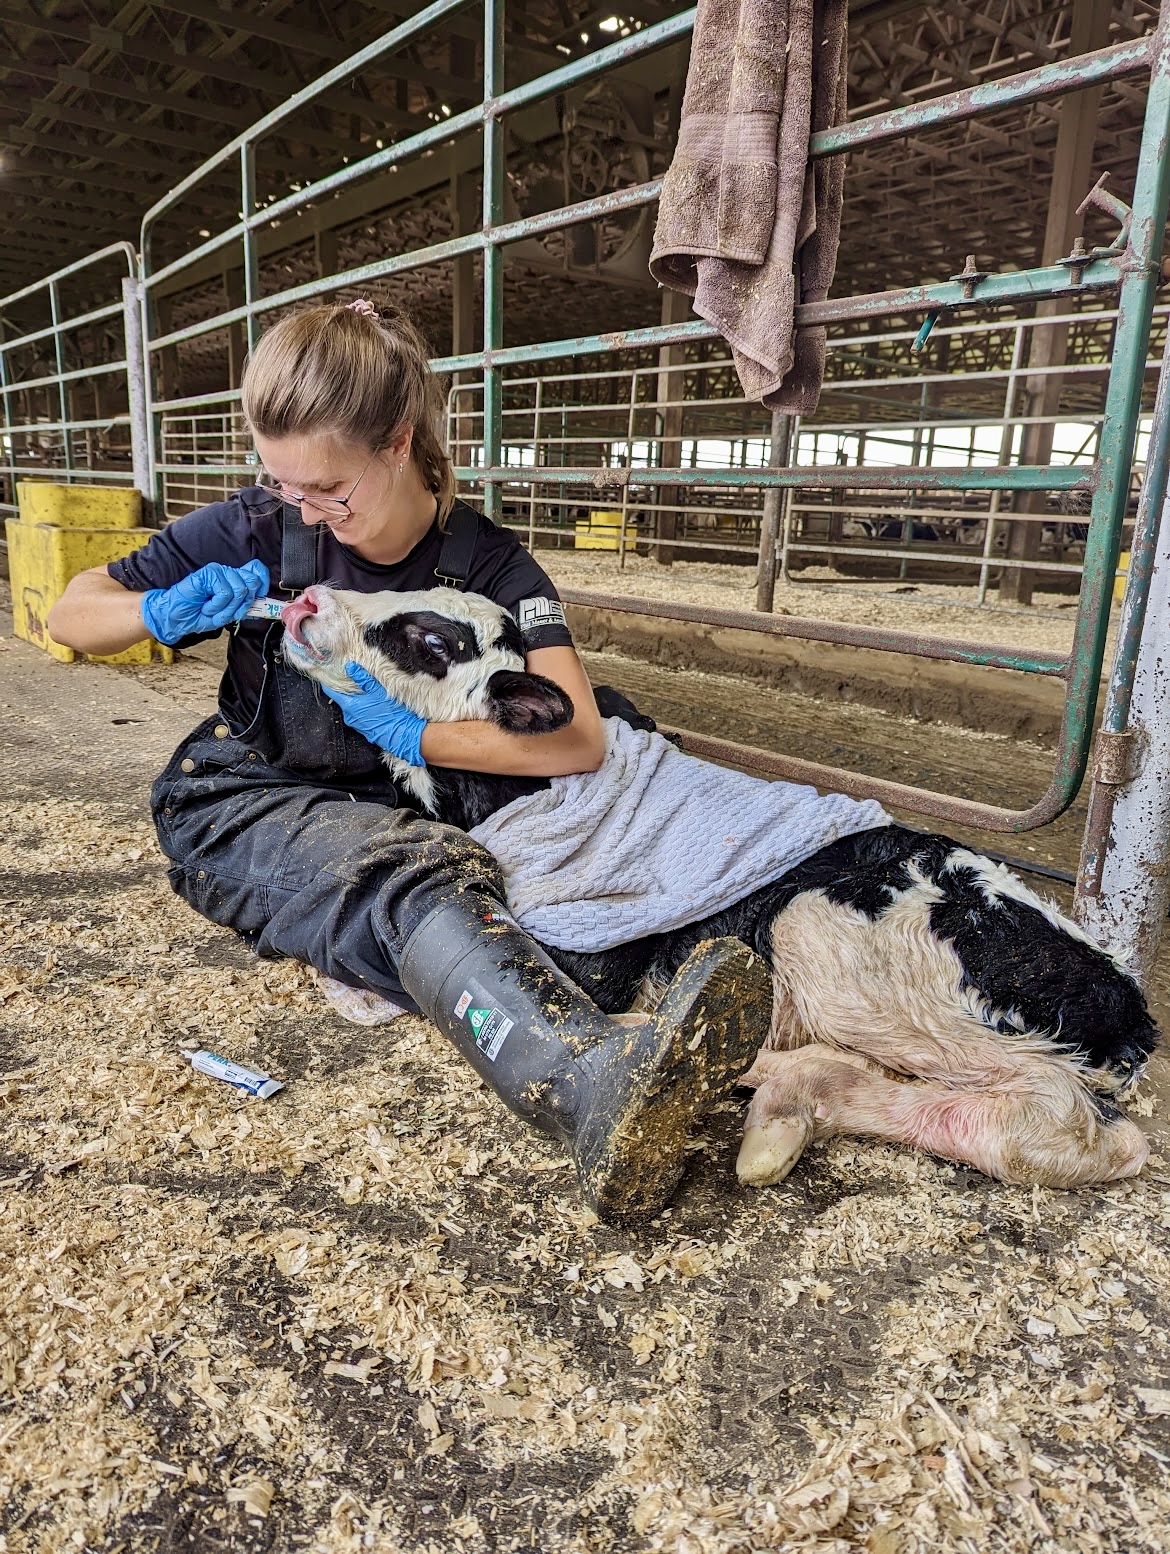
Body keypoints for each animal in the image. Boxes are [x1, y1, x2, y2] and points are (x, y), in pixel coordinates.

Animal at [281, 584, 1162, 1187]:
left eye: (429, 637)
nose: (307, 596)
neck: (509, 792)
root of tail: (1129, 1011)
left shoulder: (593, 952)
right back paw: (778, 1108)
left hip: (831, 935)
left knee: (1074, 1126)